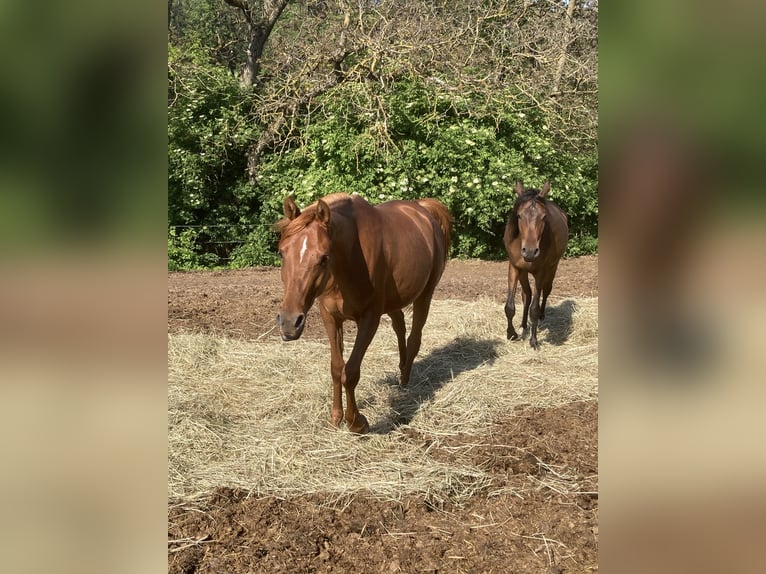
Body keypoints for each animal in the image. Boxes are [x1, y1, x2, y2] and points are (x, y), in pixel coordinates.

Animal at [275, 192, 452, 434]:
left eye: (324, 257)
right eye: (282, 253)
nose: (289, 323)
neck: (349, 261)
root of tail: (422, 209)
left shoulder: (369, 319)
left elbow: (350, 372)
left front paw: (357, 422)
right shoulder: (330, 317)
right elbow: (336, 368)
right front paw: (335, 417)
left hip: (425, 295)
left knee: (414, 338)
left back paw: (405, 382)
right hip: (394, 300)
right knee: (400, 325)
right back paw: (401, 369)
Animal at [503, 180, 569, 350]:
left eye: (544, 216)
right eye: (519, 215)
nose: (530, 252)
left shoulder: (541, 271)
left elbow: (534, 308)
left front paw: (533, 341)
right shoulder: (514, 267)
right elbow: (510, 306)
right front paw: (511, 334)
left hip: (552, 268)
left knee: (545, 292)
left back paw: (541, 317)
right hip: (524, 272)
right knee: (526, 295)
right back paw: (523, 326)